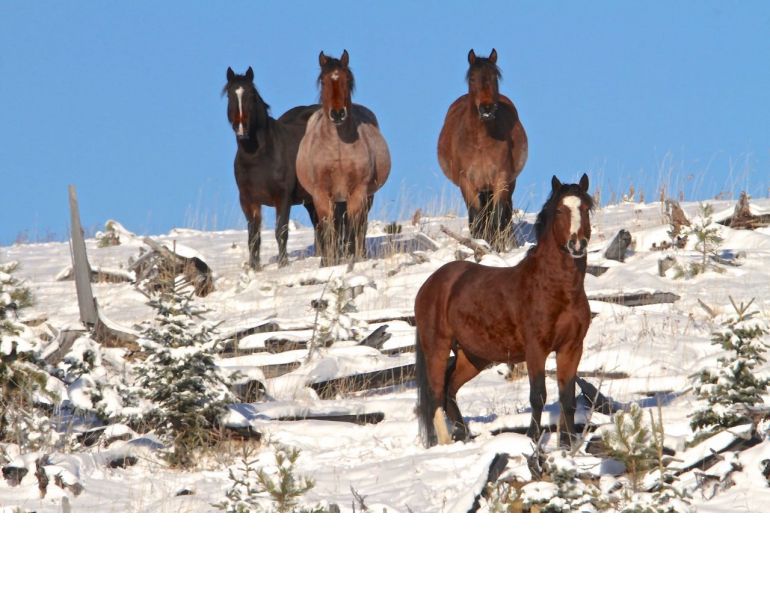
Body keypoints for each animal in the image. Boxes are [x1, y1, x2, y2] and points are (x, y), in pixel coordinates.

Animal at [223, 66, 319, 270]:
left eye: (251, 94)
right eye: (229, 94)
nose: (241, 126)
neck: (258, 157)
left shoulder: (282, 198)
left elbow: (281, 231)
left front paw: (283, 264)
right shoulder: (248, 201)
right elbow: (254, 236)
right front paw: (254, 266)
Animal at [296, 50, 391, 265]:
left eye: (347, 79)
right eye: (323, 80)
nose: (338, 113)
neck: (337, 149)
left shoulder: (358, 191)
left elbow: (354, 226)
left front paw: (354, 257)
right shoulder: (321, 194)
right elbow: (328, 227)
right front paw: (329, 261)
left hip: (365, 196)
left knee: (359, 225)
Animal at [414, 174, 594, 449]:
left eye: (585, 208)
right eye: (560, 210)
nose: (576, 244)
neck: (556, 289)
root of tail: (430, 284)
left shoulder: (571, 348)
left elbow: (568, 399)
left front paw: (567, 444)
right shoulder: (535, 350)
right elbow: (538, 396)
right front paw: (532, 439)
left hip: (473, 357)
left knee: (449, 388)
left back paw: (465, 436)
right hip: (437, 347)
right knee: (435, 393)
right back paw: (446, 442)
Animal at [437, 49, 528, 252]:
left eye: (495, 77)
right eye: (472, 78)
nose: (487, 109)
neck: (480, 142)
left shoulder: (501, 179)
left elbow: (498, 218)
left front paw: (497, 247)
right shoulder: (467, 183)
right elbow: (476, 218)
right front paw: (481, 245)